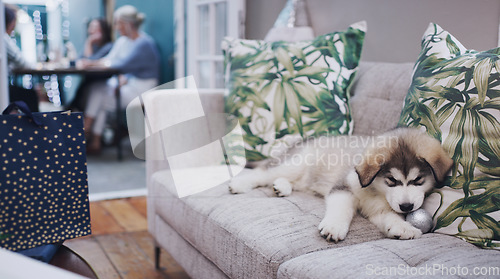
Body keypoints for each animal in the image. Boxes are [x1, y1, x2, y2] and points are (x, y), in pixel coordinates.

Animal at [229, 128, 456, 242]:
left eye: (418, 180)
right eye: (392, 180)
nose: (407, 207)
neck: (376, 190)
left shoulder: (379, 209)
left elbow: (389, 216)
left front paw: (402, 227)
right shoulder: (342, 187)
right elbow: (341, 208)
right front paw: (334, 226)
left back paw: (281, 187)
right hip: (296, 163)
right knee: (263, 173)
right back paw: (240, 183)